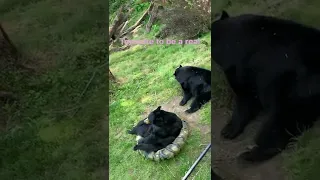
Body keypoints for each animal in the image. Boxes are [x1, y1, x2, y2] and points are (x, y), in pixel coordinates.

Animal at [211, 10, 320, 162]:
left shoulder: (241, 67)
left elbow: (245, 97)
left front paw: (228, 130)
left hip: (292, 88)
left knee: (280, 120)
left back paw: (252, 153)